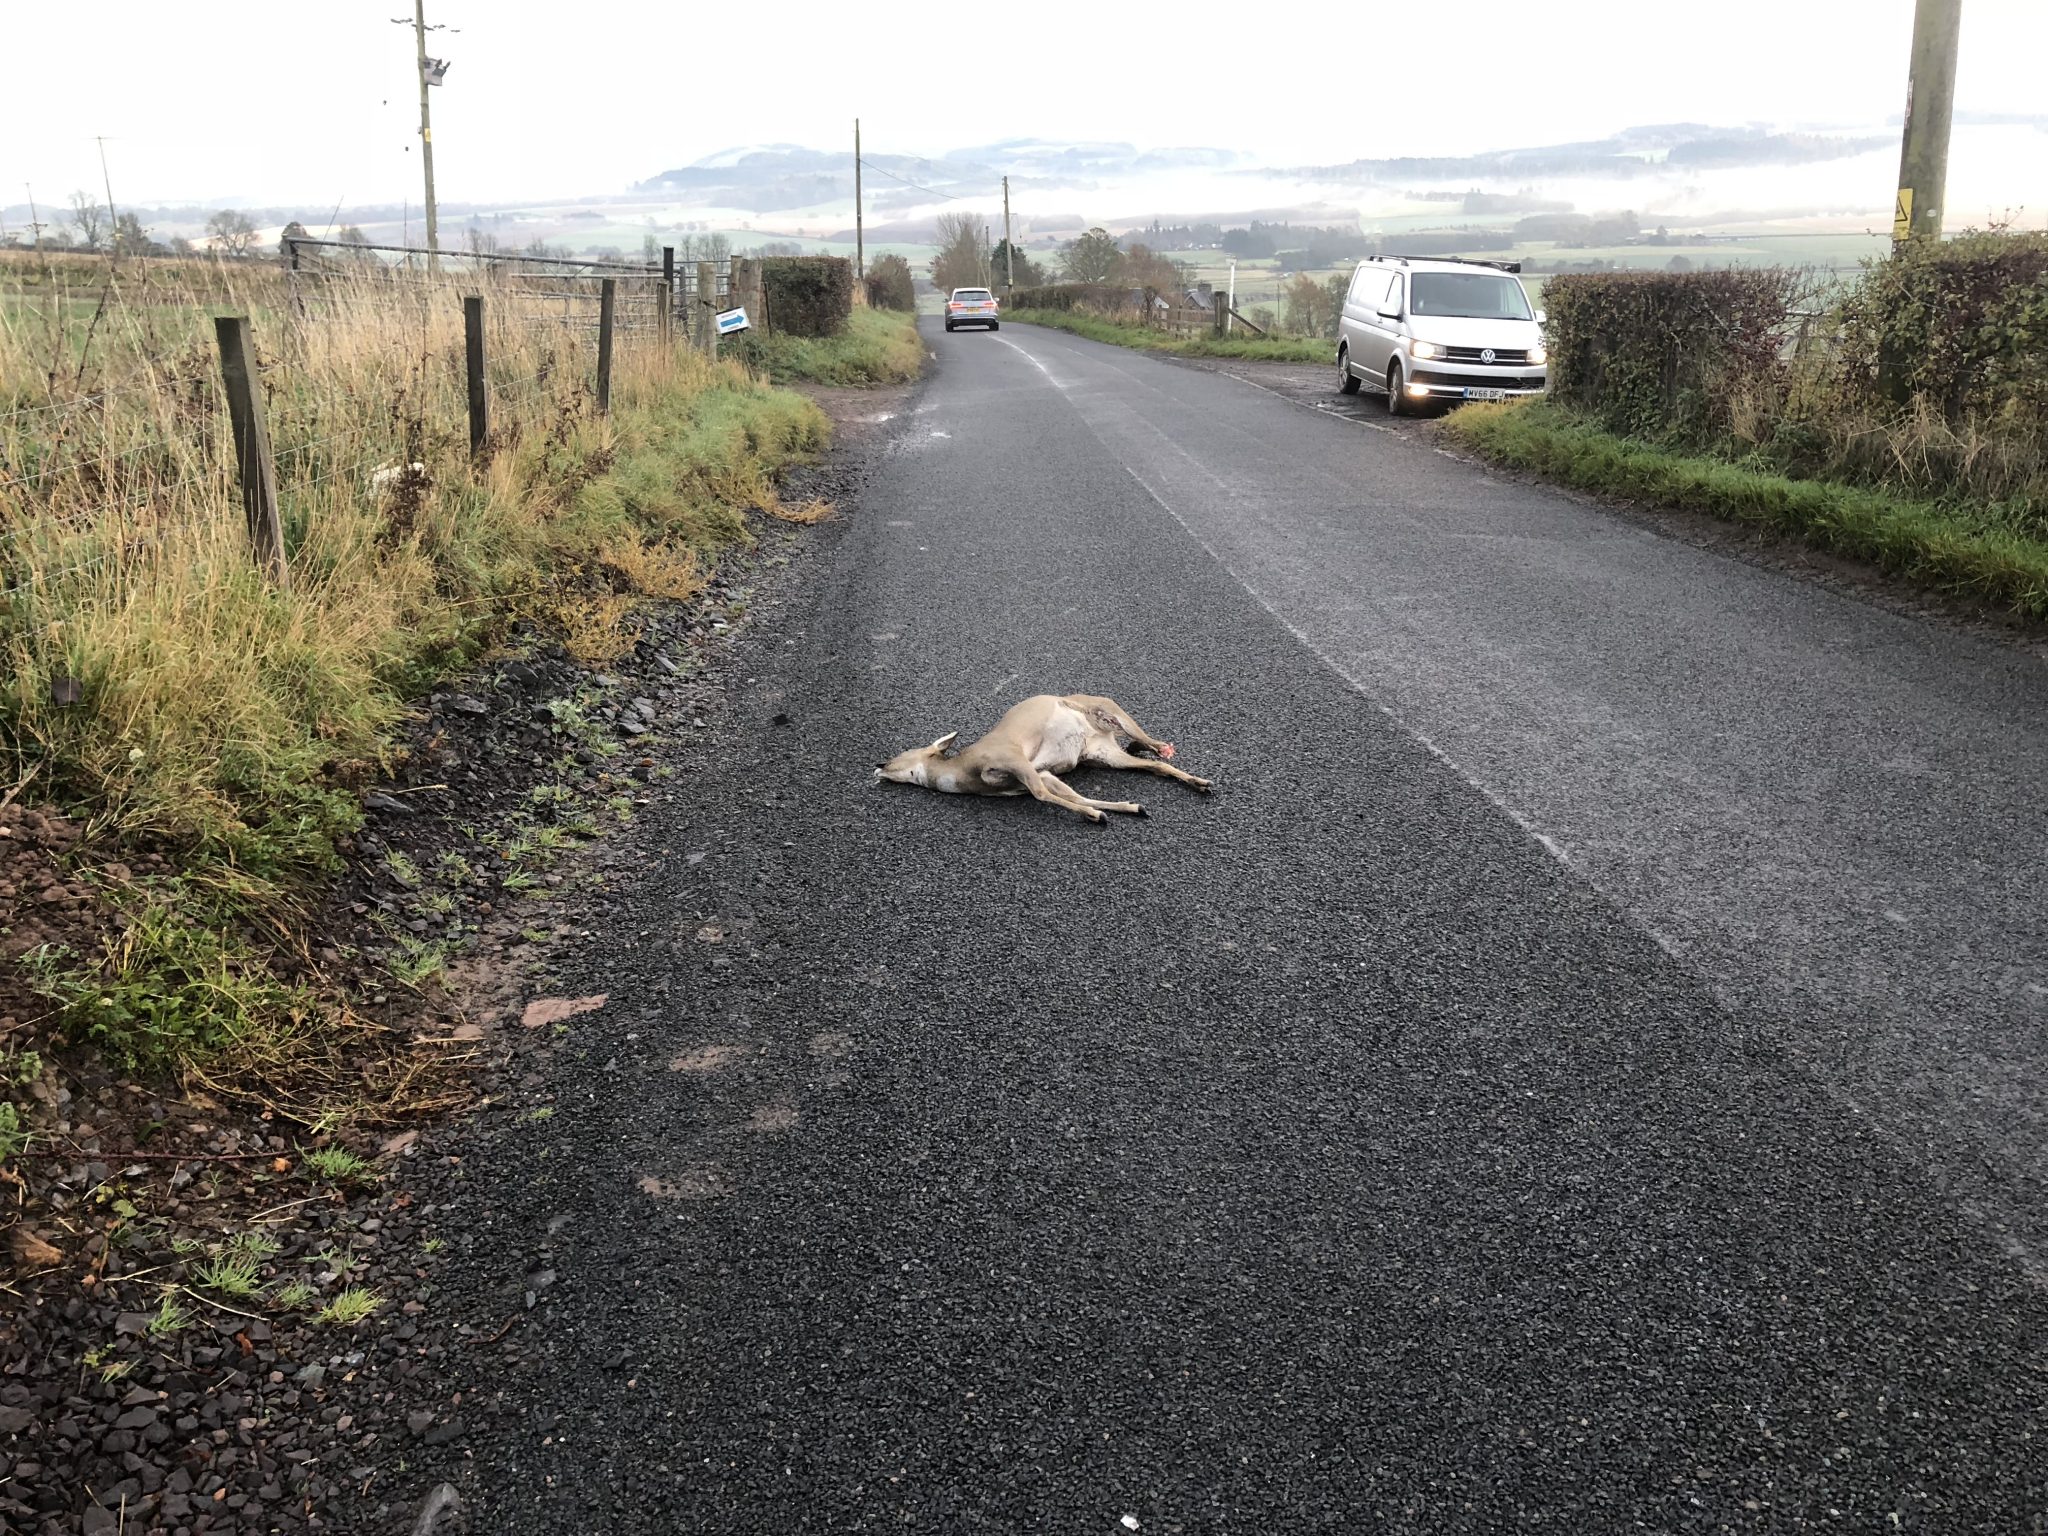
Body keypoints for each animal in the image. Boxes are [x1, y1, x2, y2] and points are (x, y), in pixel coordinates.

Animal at [872, 696, 1204, 823]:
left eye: (896, 756)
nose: (877, 766)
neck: (961, 772)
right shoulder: (1037, 773)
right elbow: (1071, 794)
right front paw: (1128, 808)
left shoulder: (1014, 757)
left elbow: (1042, 794)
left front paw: (1095, 815)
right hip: (1102, 754)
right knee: (1154, 766)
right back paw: (1200, 783)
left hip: (1110, 710)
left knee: (1148, 742)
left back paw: (1167, 752)